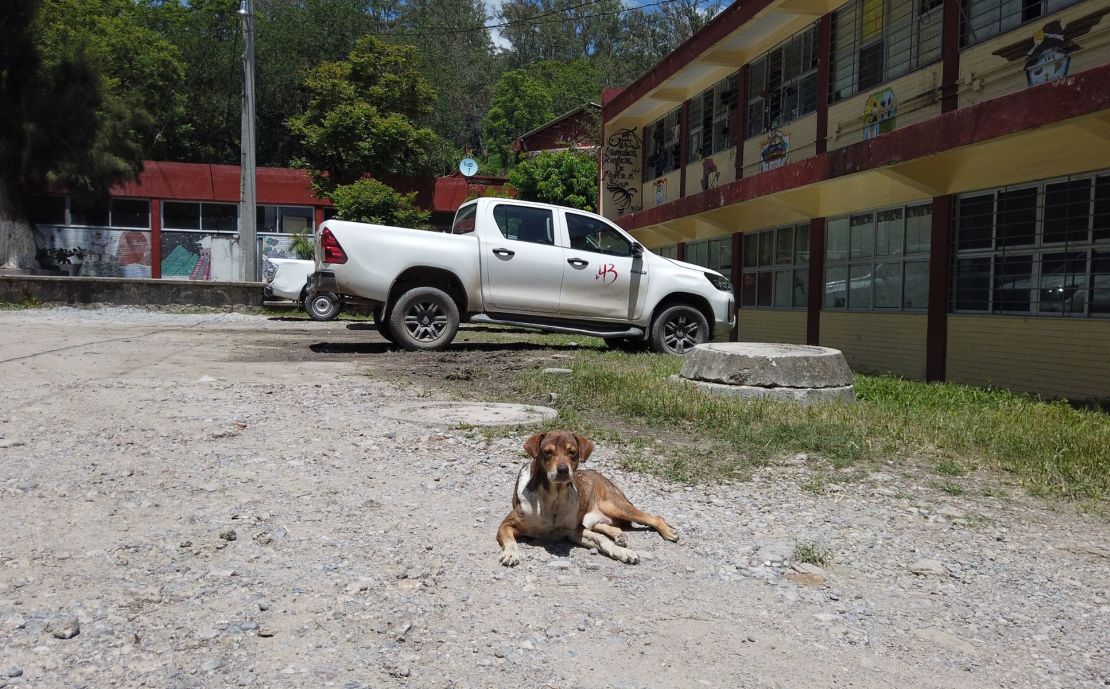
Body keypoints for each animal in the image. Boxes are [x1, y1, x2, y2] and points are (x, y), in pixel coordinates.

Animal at [495, 430, 674, 563]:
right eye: (547, 453)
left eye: (572, 452)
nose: (563, 470)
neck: (554, 497)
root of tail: (599, 475)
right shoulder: (506, 525)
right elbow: (510, 541)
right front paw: (510, 554)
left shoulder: (574, 531)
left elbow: (602, 540)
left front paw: (622, 552)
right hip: (597, 515)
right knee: (607, 525)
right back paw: (619, 535)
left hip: (612, 506)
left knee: (654, 517)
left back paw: (668, 532)